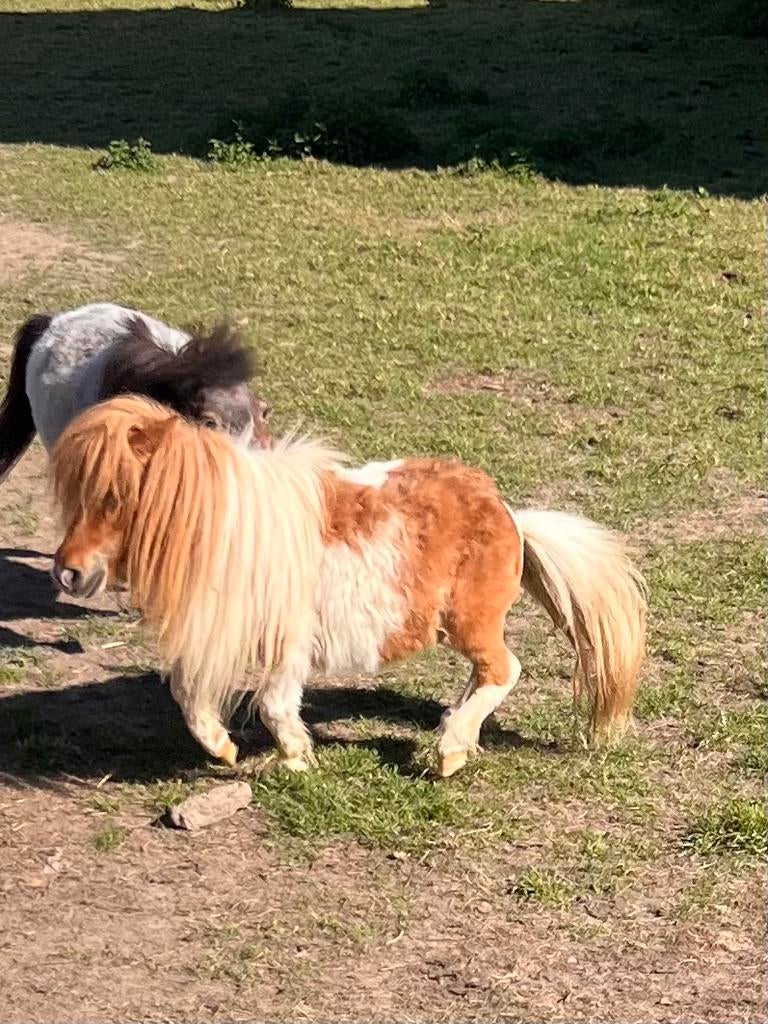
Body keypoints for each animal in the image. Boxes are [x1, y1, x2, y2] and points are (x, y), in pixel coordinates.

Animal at [50, 395, 647, 778]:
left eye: (115, 496)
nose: (68, 571)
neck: (237, 533)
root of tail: (509, 514)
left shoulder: (288, 643)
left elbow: (273, 706)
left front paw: (296, 760)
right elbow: (189, 696)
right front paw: (225, 751)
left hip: (470, 622)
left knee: (504, 670)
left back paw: (451, 750)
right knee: (483, 678)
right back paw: (456, 733)